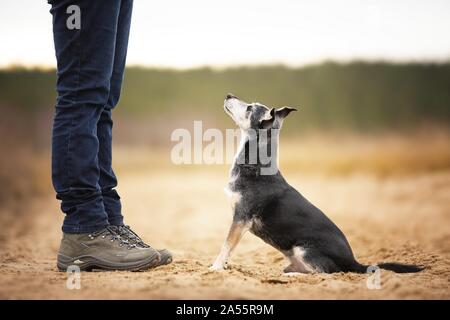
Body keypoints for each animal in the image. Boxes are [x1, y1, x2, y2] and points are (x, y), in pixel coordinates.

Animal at [210, 94, 422, 274]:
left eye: (250, 108)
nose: (229, 95)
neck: (256, 164)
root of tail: (353, 262)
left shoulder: (240, 219)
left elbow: (226, 246)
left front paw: (215, 268)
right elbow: (228, 248)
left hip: (304, 249)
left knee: (322, 272)